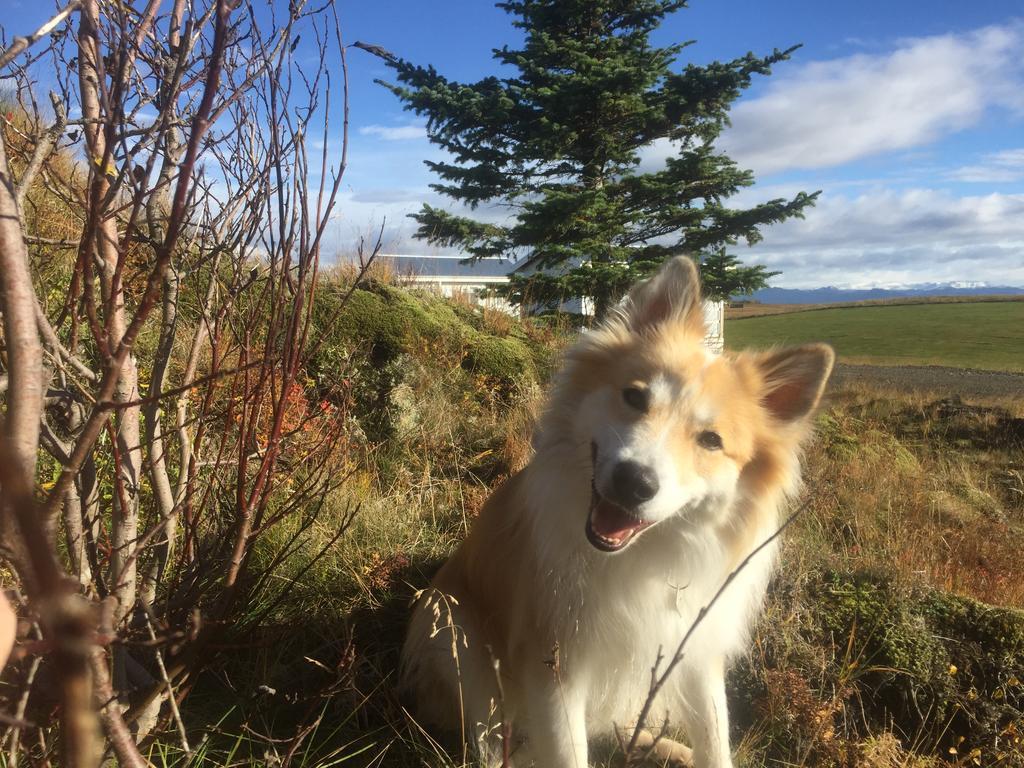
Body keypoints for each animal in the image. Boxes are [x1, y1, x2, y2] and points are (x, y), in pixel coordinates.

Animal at [397, 256, 831, 765]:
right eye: (636, 397)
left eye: (711, 441)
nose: (633, 482)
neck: (639, 557)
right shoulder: (553, 667)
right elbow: (568, 752)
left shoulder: (694, 651)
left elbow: (715, 737)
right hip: (455, 643)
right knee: (492, 746)